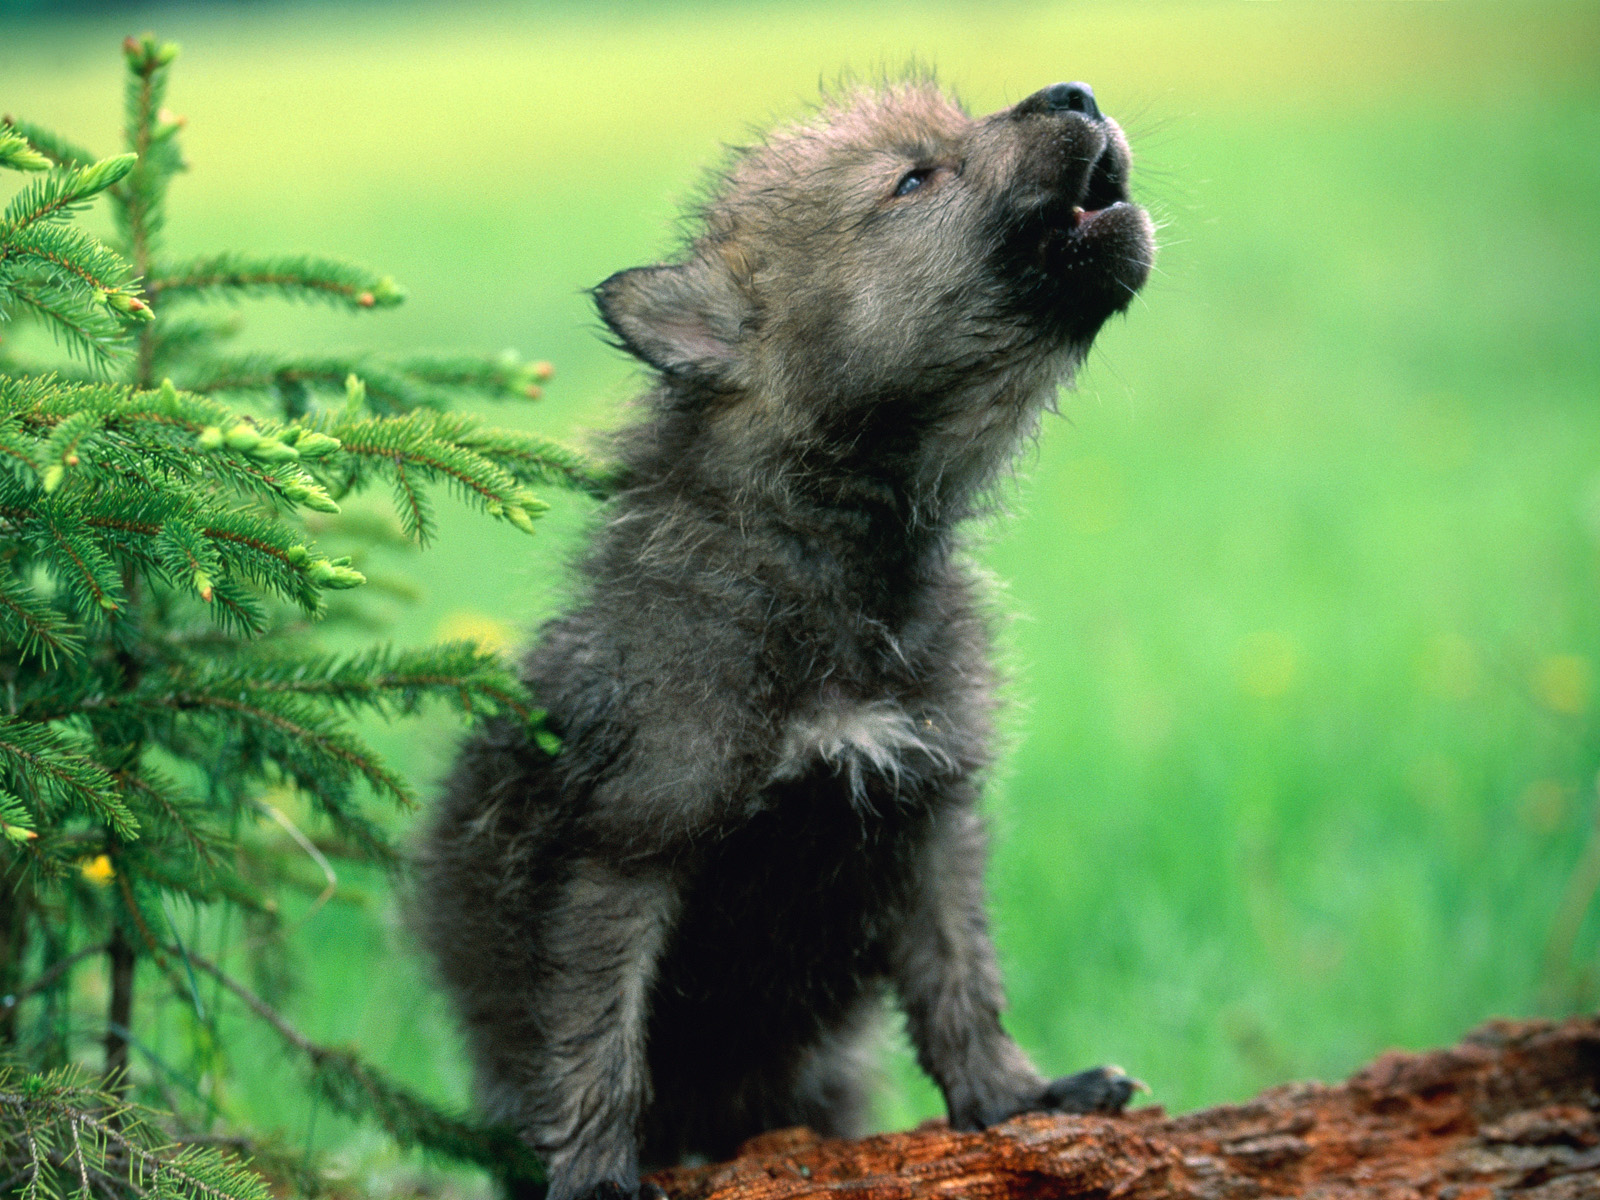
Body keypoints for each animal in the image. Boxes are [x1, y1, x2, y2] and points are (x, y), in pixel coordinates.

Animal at [415, 76, 1155, 1200]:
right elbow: (598, 1042)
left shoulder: (927, 816)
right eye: (912, 179)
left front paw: (1020, 1099)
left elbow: (962, 985)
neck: (836, 561)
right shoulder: (622, 852)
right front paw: (596, 1174)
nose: (1075, 90)